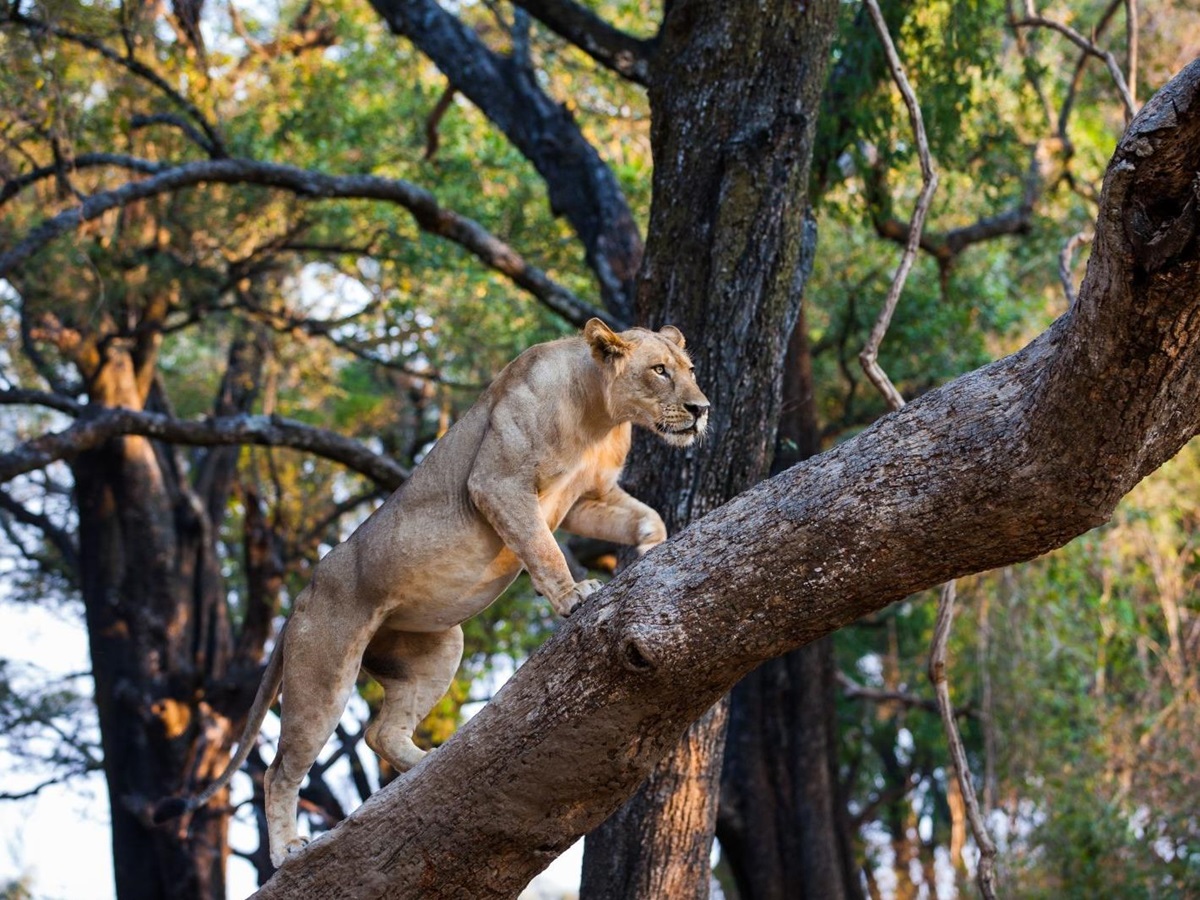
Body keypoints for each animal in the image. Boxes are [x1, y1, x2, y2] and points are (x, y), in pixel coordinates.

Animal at [155, 318, 709, 866]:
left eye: (690, 370)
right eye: (659, 370)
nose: (702, 410)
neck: (600, 413)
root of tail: (300, 599)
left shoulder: (587, 500)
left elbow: (646, 517)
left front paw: (653, 551)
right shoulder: (497, 483)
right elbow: (542, 549)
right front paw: (574, 595)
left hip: (439, 648)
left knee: (380, 733)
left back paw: (428, 765)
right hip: (324, 674)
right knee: (280, 769)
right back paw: (288, 847)